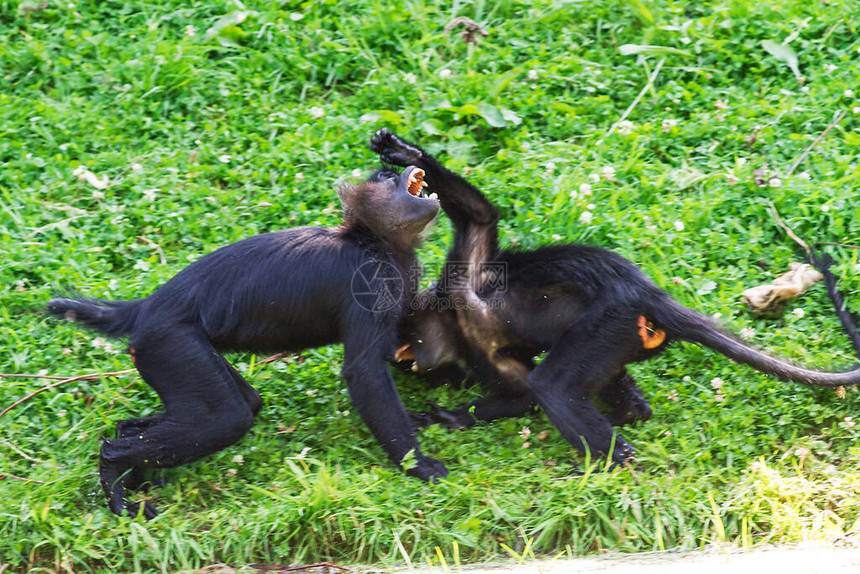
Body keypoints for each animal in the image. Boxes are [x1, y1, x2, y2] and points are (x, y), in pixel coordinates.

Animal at [50, 164, 446, 520]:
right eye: (386, 177)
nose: (402, 168)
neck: (373, 241)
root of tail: (145, 307)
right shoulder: (371, 280)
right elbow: (364, 371)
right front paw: (418, 465)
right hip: (170, 343)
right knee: (225, 418)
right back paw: (116, 477)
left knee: (233, 406)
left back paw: (134, 463)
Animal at [370, 129, 860, 468]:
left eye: (409, 339)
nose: (409, 358)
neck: (456, 321)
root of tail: (646, 292)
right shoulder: (483, 350)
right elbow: (520, 395)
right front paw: (450, 418)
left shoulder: (465, 279)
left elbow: (479, 216)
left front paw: (407, 155)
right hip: (627, 333)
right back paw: (627, 414)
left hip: (610, 319)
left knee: (555, 386)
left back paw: (615, 459)